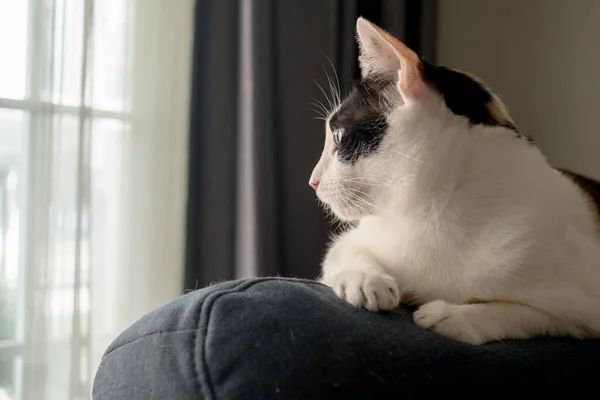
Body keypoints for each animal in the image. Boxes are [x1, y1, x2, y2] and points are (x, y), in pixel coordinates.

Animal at [310, 17, 600, 346]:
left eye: (337, 136)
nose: (312, 181)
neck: (429, 213)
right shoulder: (355, 240)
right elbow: (342, 253)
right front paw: (367, 281)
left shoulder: (584, 305)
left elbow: (521, 313)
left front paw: (454, 316)